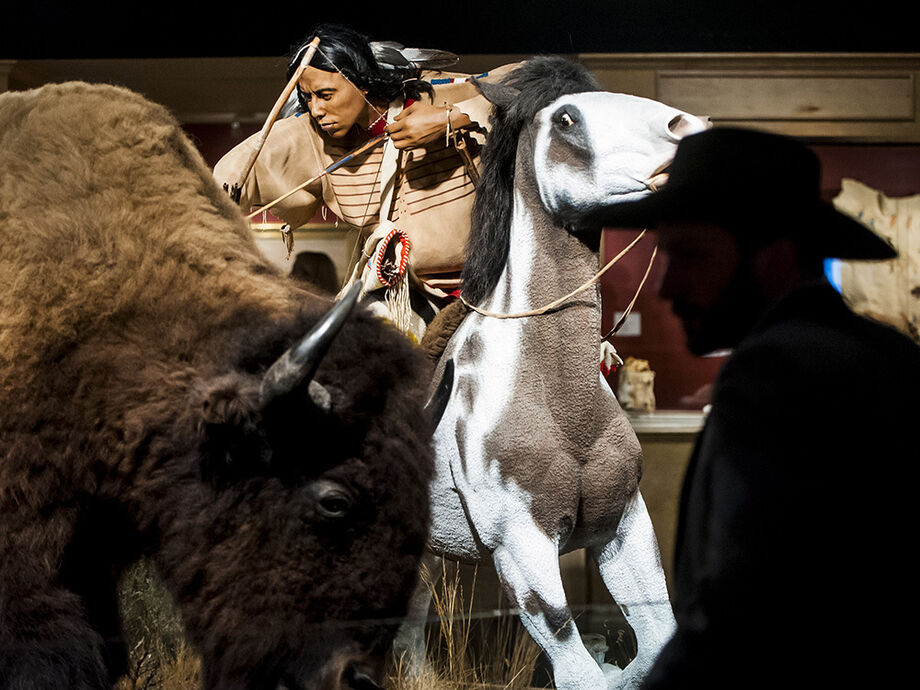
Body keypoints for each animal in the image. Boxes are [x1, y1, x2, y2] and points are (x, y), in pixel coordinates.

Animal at [398, 59, 708, 688]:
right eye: (567, 118)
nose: (692, 129)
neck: (564, 408)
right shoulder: (520, 547)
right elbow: (575, 665)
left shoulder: (624, 525)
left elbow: (653, 640)